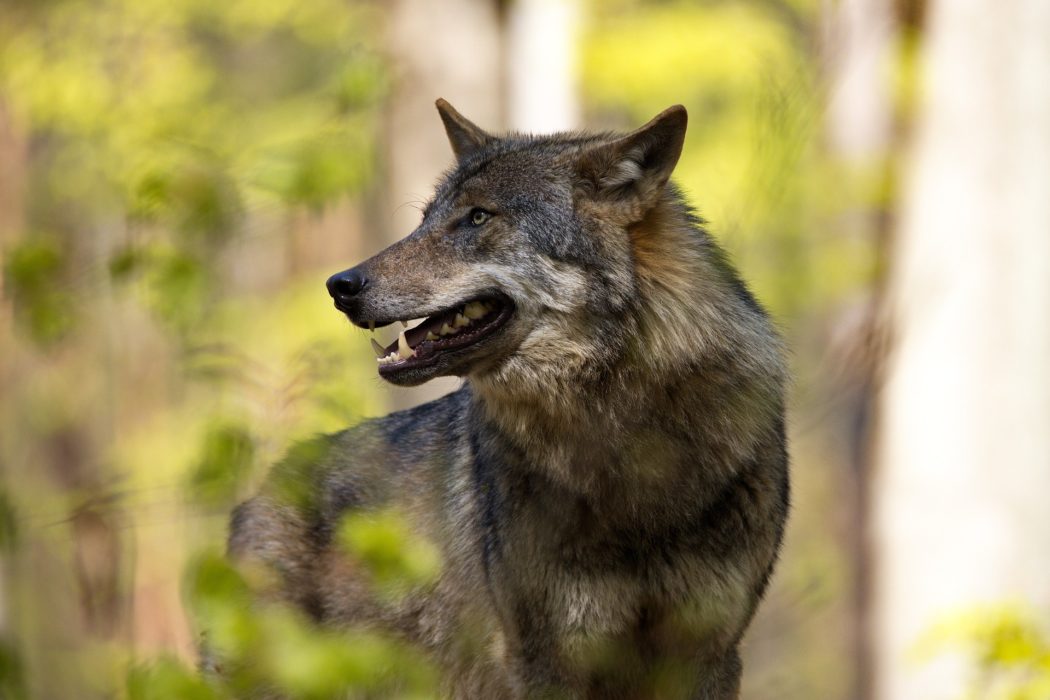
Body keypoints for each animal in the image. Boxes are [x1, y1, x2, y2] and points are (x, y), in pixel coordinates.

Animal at [227, 100, 789, 699]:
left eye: (477, 217)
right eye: (424, 218)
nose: (340, 285)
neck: (631, 453)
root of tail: (260, 490)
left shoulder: (708, 655)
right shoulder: (544, 659)